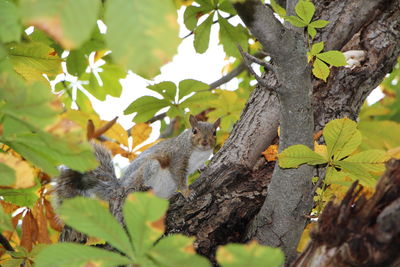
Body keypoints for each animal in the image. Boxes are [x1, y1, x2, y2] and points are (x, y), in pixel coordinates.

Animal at [53, 114, 220, 206]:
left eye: (214, 132)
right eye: (194, 131)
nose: (205, 142)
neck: (198, 153)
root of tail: (119, 187)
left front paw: (203, 168)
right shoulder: (177, 157)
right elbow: (179, 176)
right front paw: (187, 192)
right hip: (148, 169)